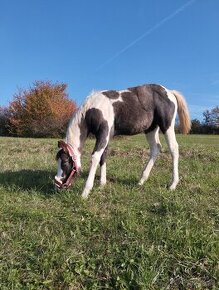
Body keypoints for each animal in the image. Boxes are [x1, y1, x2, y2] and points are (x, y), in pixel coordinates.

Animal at [54, 82, 190, 198]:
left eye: (65, 162)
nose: (58, 184)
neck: (93, 109)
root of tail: (170, 92)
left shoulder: (103, 134)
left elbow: (95, 157)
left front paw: (85, 192)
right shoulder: (106, 136)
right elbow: (103, 156)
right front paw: (102, 184)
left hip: (166, 126)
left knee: (173, 148)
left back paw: (173, 184)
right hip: (151, 129)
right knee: (155, 149)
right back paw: (141, 181)